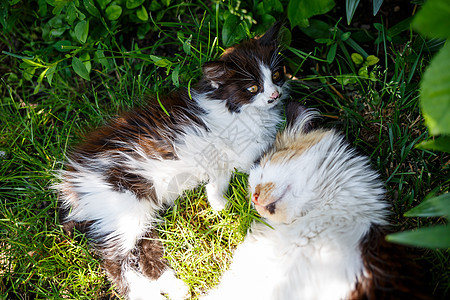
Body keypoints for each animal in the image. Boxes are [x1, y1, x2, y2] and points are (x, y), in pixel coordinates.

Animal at [55, 23, 288, 300]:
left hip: (139, 208)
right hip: (123, 201)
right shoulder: (240, 147)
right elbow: (253, 153)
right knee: (114, 259)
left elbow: (220, 174)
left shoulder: (222, 156)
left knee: (142, 248)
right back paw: (143, 293)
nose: (274, 95)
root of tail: (72, 181)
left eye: (277, 74)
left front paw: (218, 202)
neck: (231, 107)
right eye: (252, 88)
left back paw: (173, 287)